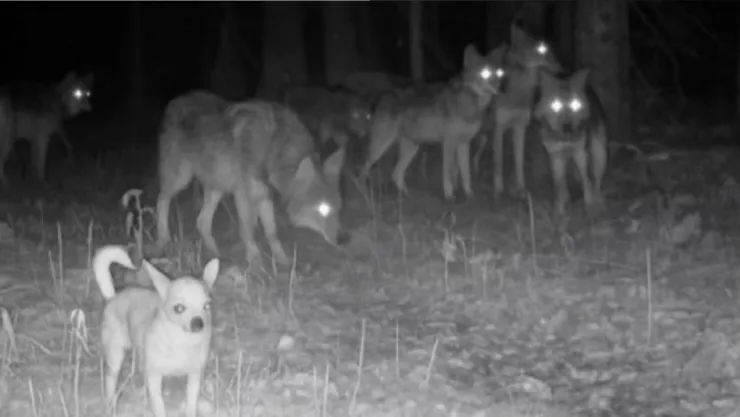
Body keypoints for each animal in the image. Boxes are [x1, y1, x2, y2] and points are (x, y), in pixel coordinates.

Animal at [156, 91, 345, 265]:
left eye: (338, 207)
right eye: (322, 209)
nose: (343, 239)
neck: (273, 146)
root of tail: (175, 101)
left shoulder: (265, 196)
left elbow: (272, 232)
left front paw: (282, 259)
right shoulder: (244, 196)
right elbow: (248, 230)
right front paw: (255, 261)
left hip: (216, 188)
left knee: (201, 221)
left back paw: (216, 254)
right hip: (182, 179)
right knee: (161, 200)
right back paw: (163, 239)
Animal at [359, 44, 507, 201]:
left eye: (499, 74)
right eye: (484, 73)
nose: (499, 91)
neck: (469, 105)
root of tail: (382, 97)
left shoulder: (464, 143)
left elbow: (466, 173)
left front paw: (469, 195)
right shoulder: (448, 143)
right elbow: (448, 172)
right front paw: (449, 196)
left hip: (412, 148)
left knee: (396, 174)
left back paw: (408, 197)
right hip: (380, 148)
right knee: (363, 171)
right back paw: (365, 194)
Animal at [472, 25, 562, 199]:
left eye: (552, 50)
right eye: (542, 50)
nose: (561, 67)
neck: (519, 92)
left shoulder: (520, 127)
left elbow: (518, 162)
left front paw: (521, 190)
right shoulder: (499, 127)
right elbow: (498, 161)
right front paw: (498, 191)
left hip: (487, 132)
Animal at [533, 68, 608, 214]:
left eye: (575, 105)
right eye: (555, 105)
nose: (567, 127)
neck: (564, 139)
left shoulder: (580, 153)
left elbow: (586, 179)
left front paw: (590, 205)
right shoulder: (555, 156)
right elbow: (558, 184)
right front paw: (558, 211)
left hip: (599, 153)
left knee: (596, 179)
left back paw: (599, 200)